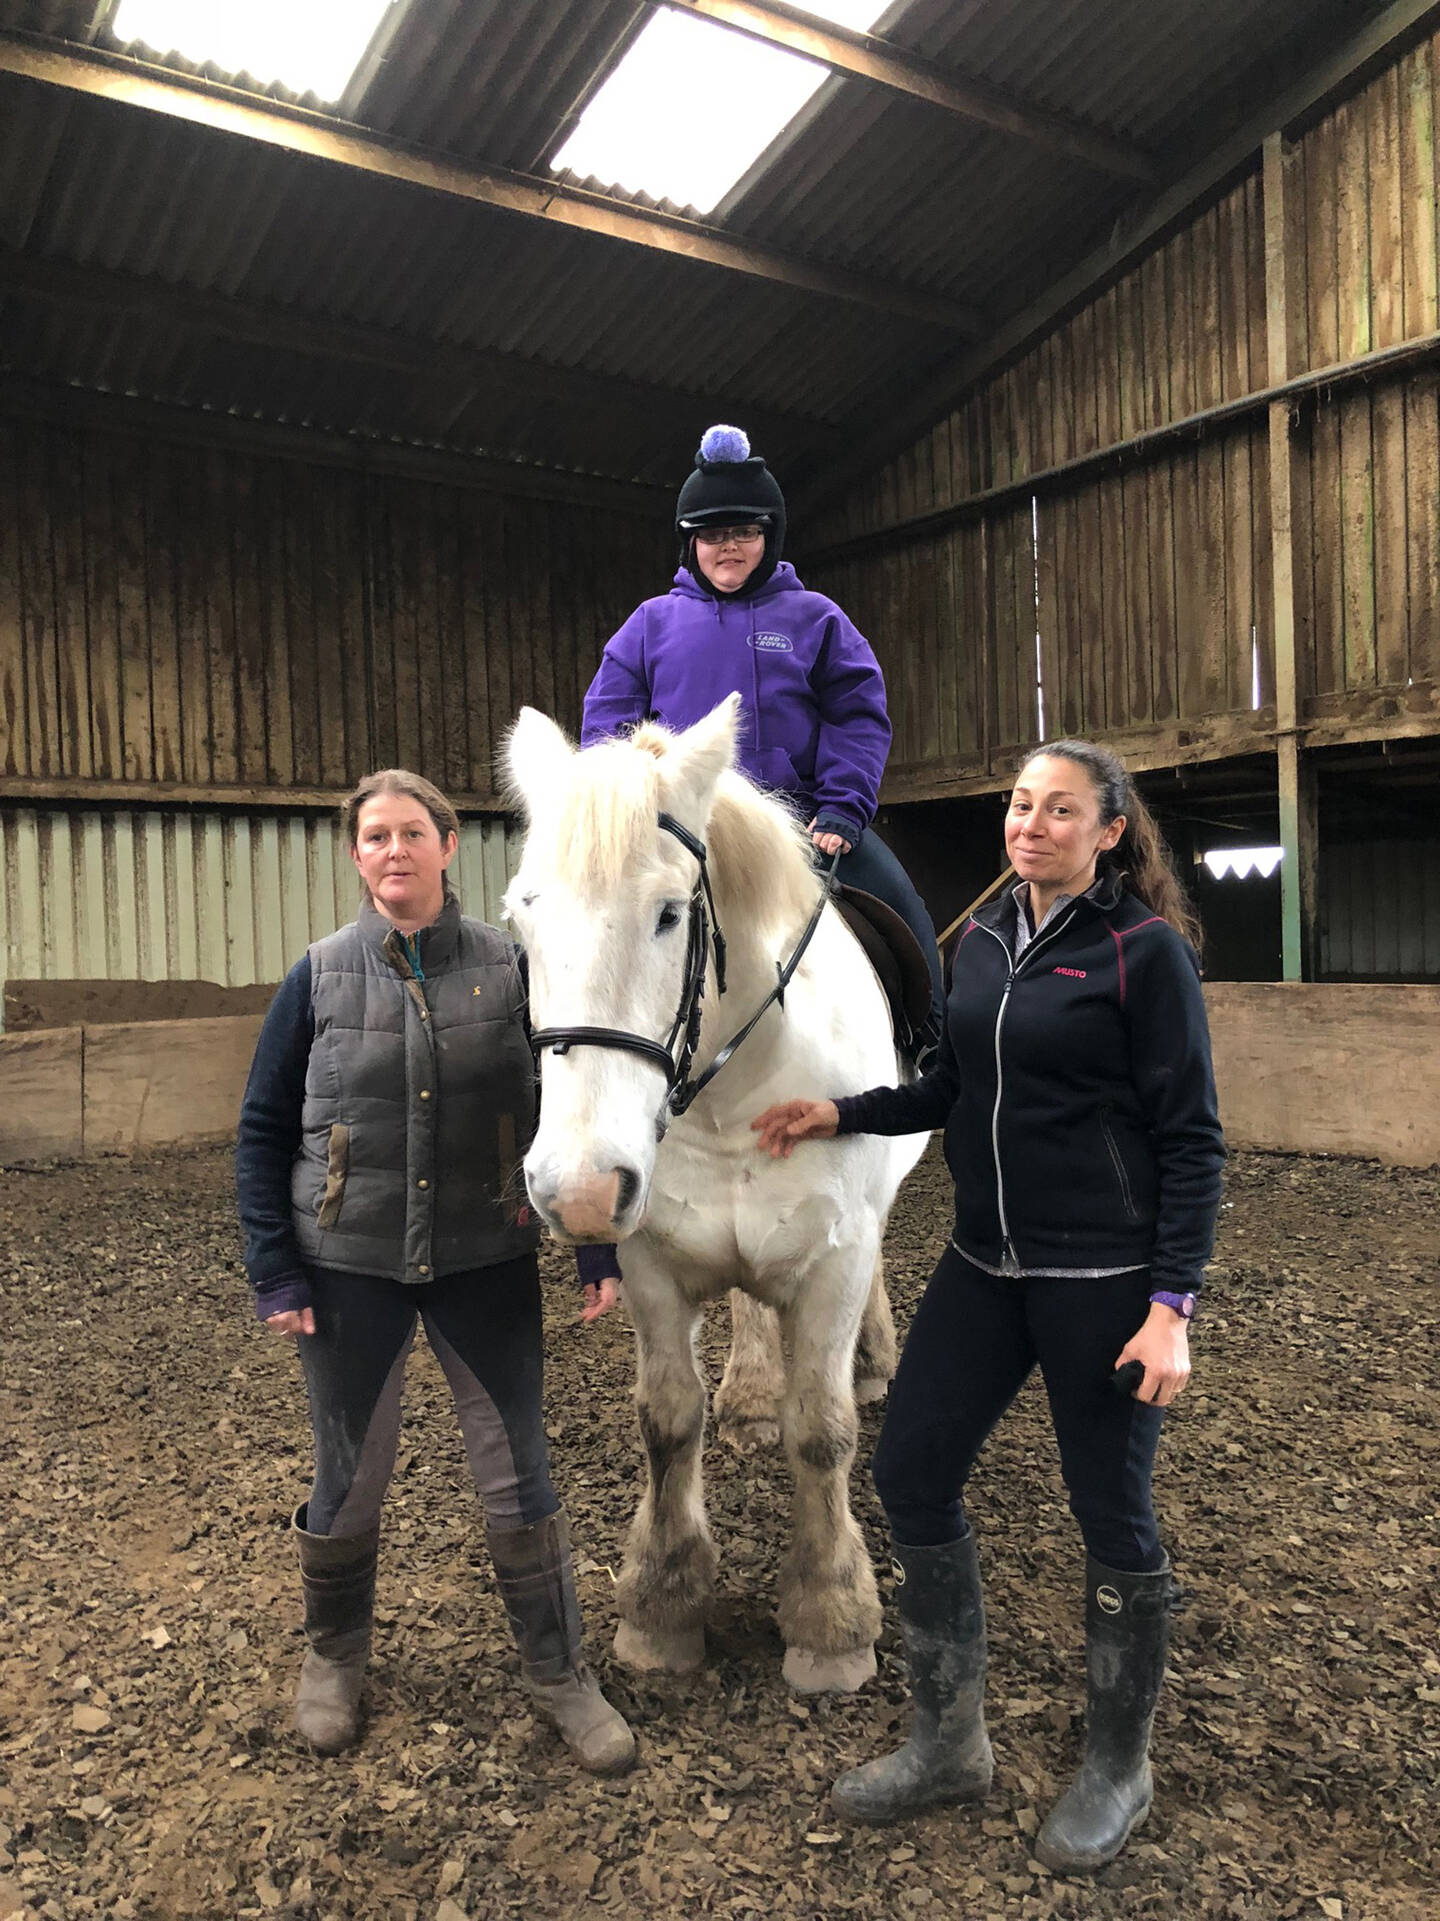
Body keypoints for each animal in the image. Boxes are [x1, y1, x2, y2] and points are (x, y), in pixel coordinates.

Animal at [506, 699, 929, 1690]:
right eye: (522, 919)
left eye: (669, 914)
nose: (579, 1190)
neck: (735, 1095)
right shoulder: (652, 1266)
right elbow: (667, 1419)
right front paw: (663, 1604)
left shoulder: (835, 1257)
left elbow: (822, 1429)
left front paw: (831, 1619)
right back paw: (750, 1395)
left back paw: (872, 1359)